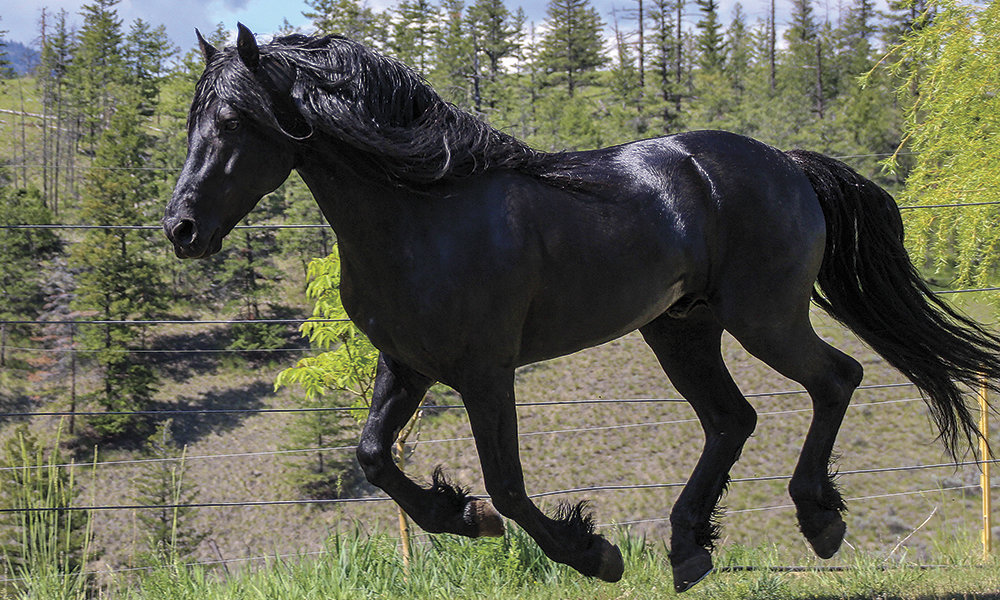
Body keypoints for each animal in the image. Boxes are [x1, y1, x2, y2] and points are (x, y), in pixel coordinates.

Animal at [164, 25, 1000, 592]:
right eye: (191, 122)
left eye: (234, 123)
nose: (181, 229)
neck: (423, 212)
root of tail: (787, 164)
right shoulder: (406, 365)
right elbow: (372, 456)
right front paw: (458, 515)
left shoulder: (485, 371)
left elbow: (507, 484)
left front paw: (590, 552)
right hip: (680, 328)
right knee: (733, 419)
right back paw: (690, 547)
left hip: (765, 317)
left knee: (835, 379)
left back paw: (818, 520)